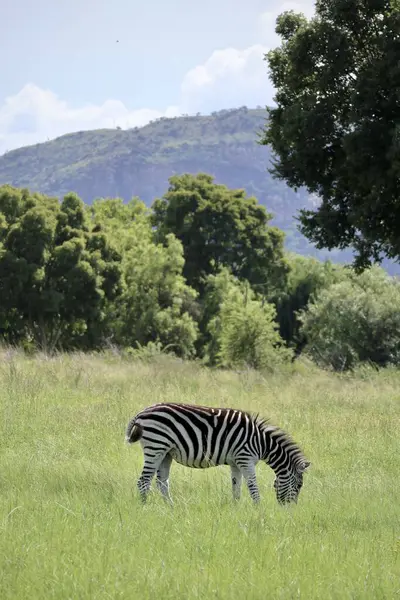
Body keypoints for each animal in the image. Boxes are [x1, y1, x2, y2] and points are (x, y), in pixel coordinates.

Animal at [125, 404, 310, 506]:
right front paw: (259, 509)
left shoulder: (236, 463)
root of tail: (142, 413)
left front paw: (236, 509)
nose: (289, 510)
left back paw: (171, 507)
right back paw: (145, 508)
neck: (262, 442)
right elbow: (253, 487)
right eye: (299, 485)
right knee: (143, 482)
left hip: (165, 453)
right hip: (155, 446)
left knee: (162, 483)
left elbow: (236, 488)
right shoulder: (246, 459)